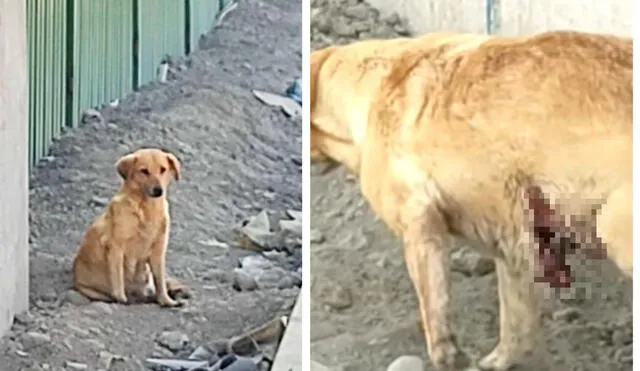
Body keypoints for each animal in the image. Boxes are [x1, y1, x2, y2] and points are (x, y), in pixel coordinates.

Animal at [72, 148, 189, 308]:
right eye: (144, 171)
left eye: (163, 169)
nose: (158, 190)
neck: (146, 208)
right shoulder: (116, 247)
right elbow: (118, 277)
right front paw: (121, 298)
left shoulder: (158, 250)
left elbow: (160, 280)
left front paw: (166, 300)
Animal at [312, 30, 632, 370]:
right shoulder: (514, 241)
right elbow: (516, 320)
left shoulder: (422, 230)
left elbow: (436, 322)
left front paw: (450, 358)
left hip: (613, 227)